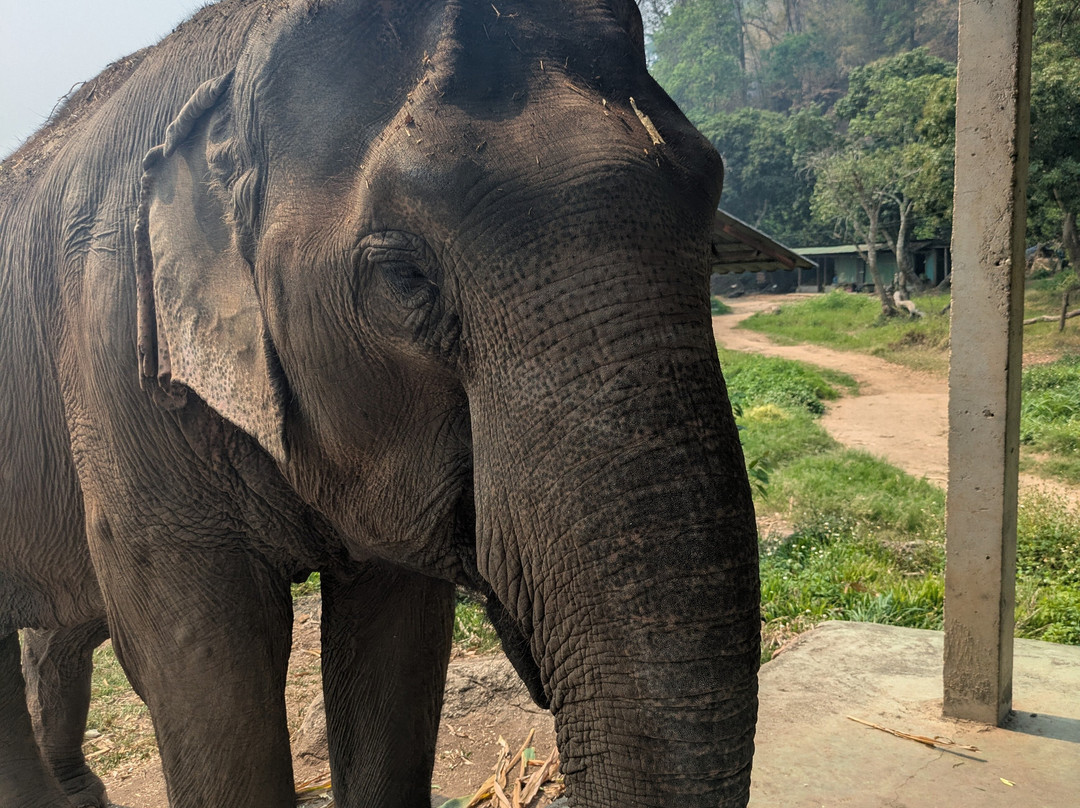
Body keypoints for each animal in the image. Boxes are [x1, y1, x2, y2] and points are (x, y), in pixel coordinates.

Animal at [0, 1, 761, 806]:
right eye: (404, 275)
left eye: (710, 220)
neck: (238, 58)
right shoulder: (120, 371)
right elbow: (203, 664)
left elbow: (395, 646)